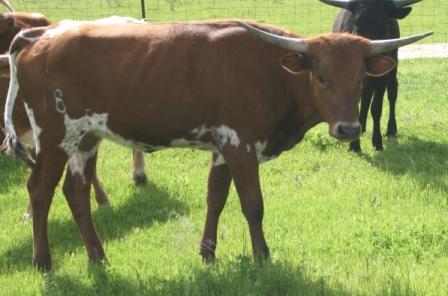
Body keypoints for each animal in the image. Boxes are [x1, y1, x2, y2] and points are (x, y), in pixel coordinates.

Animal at [1, 19, 430, 270]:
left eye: (360, 79)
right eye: (322, 77)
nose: (349, 128)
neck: (272, 70)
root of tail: (42, 35)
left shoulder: (223, 148)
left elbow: (216, 198)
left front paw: (207, 253)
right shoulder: (240, 144)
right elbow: (252, 204)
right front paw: (262, 257)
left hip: (85, 138)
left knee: (76, 192)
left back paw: (98, 257)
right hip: (55, 137)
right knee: (39, 192)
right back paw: (44, 262)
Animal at [320, 0, 422, 151]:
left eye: (384, 24)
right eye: (357, 24)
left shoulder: (381, 77)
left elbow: (376, 107)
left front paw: (377, 142)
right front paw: (354, 144)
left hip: (393, 63)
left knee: (392, 92)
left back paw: (391, 129)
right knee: (366, 96)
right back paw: (361, 128)